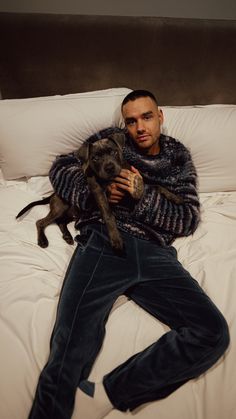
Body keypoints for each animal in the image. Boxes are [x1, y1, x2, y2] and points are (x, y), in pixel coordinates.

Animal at [16, 135, 183, 251]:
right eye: (95, 158)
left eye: (114, 152)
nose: (109, 167)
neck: (112, 179)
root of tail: (52, 194)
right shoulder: (99, 193)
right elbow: (108, 215)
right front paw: (116, 239)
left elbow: (155, 185)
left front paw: (175, 197)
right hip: (61, 207)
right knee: (41, 222)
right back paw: (43, 240)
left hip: (71, 213)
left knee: (60, 222)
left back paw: (67, 236)